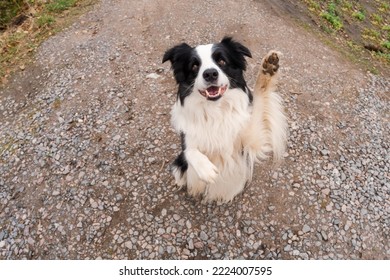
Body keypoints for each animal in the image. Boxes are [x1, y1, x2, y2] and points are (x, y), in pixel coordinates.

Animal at [163, 37, 288, 202]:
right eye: (195, 66)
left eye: (222, 61)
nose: (210, 73)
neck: (216, 110)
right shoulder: (187, 139)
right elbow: (189, 151)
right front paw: (206, 169)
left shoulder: (251, 141)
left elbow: (260, 100)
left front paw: (269, 67)